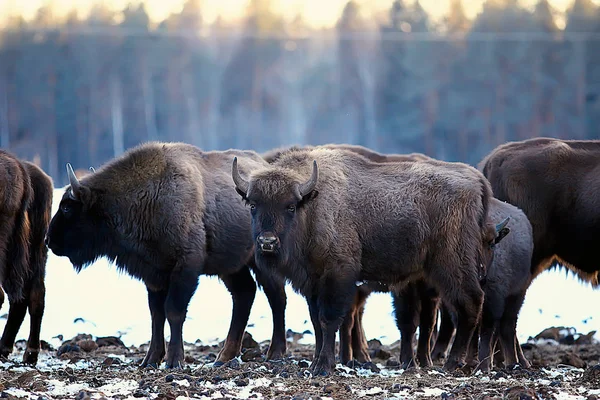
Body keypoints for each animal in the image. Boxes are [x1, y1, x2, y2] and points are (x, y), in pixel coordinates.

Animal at [47, 143, 288, 368]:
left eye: (67, 208)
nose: (49, 240)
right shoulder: (154, 275)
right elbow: (156, 315)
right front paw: (150, 360)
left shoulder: (184, 269)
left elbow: (173, 311)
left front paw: (174, 360)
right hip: (231, 267)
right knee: (244, 294)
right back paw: (224, 357)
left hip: (260, 262)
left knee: (276, 298)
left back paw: (275, 353)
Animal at [232, 147, 494, 376]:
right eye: (253, 205)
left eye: (290, 206)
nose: (267, 242)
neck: (313, 205)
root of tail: (477, 181)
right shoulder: (312, 284)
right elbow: (316, 323)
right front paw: (315, 364)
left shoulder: (337, 276)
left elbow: (328, 320)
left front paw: (324, 367)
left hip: (452, 264)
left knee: (470, 302)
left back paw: (452, 364)